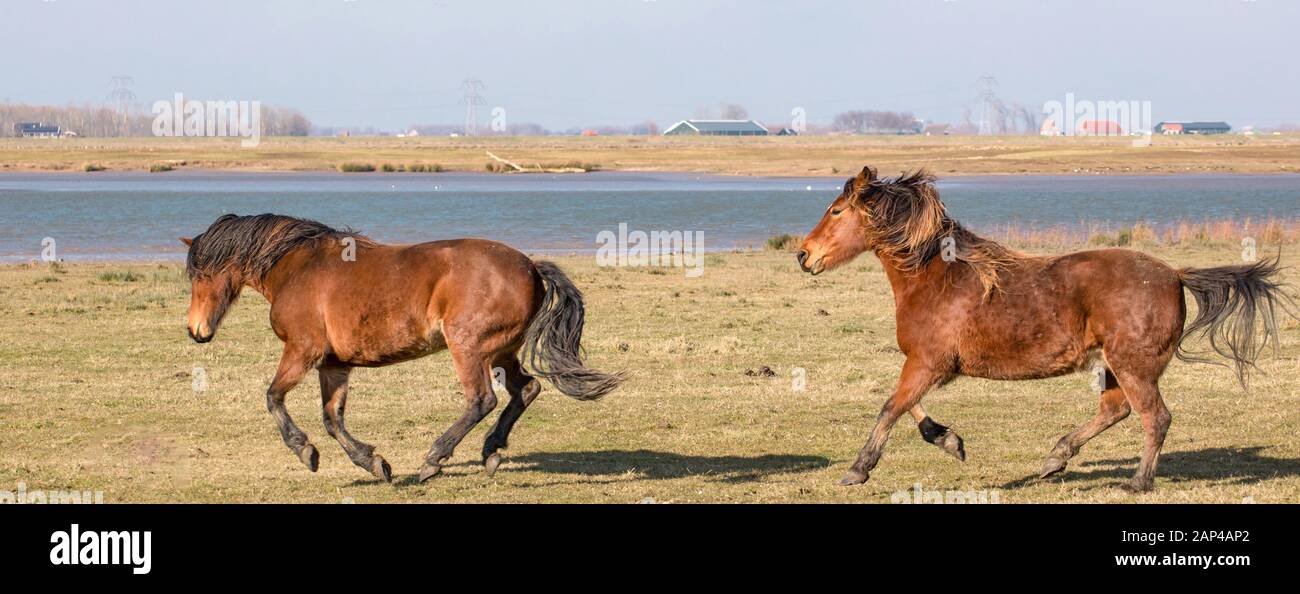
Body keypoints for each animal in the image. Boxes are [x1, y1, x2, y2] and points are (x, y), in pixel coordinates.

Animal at [181, 213, 624, 483]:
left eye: (200, 274)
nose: (195, 330)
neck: (298, 268)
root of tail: (531, 267)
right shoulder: (333, 365)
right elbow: (333, 419)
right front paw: (374, 464)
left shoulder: (301, 352)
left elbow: (274, 398)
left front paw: (305, 452)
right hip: (502, 353)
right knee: (526, 390)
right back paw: (491, 451)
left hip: (470, 349)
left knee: (481, 400)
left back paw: (434, 459)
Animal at [797, 166, 1291, 492]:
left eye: (836, 211)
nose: (803, 255)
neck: (937, 277)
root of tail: (1175, 274)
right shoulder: (928, 365)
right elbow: (908, 408)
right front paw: (950, 441)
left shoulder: (927, 364)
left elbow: (889, 408)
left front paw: (858, 469)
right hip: (1113, 366)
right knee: (1116, 410)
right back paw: (1056, 459)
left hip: (1133, 366)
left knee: (1155, 417)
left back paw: (1136, 482)